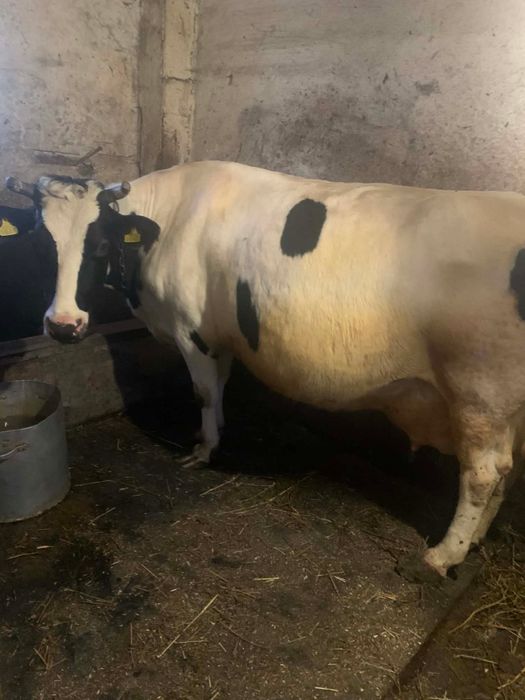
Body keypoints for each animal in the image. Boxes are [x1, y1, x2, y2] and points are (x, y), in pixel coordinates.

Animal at [7, 161, 525, 578]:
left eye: (98, 246)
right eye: (42, 244)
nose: (63, 326)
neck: (170, 221)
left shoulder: (192, 330)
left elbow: (203, 392)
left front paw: (203, 449)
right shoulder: (221, 335)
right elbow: (220, 386)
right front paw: (216, 432)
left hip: (479, 390)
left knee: (482, 472)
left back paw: (443, 555)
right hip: (504, 405)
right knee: (505, 468)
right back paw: (476, 538)